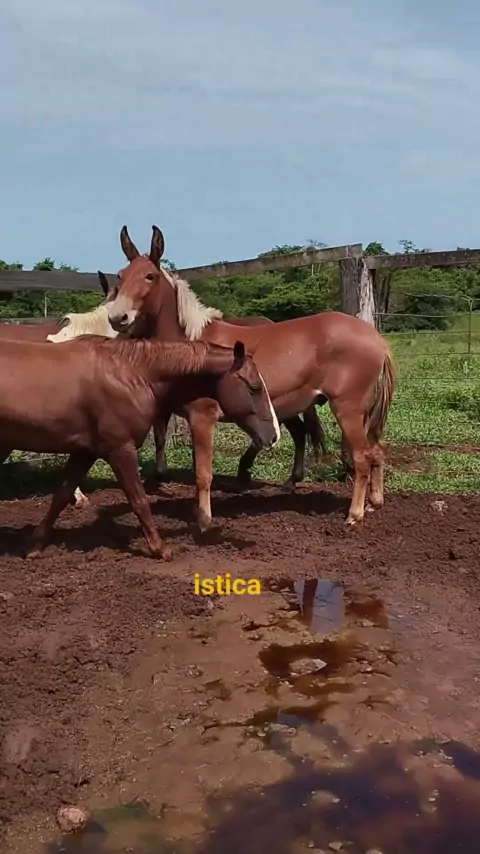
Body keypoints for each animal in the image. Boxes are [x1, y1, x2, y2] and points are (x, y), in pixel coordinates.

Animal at [0, 335, 279, 559]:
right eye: (254, 387)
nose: (273, 436)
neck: (133, 373)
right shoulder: (121, 449)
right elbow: (139, 500)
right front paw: (160, 548)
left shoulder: (85, 452)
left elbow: (60, 496)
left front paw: (35, 545)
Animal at [104, 225, 396, 531]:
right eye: (121, 276)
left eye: (150, 276)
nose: (117, 317)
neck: (193, 344)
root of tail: (377, 339)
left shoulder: (203, 417)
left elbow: (203, 473)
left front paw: (204, 519)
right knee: (376, 450)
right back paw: (374, 501)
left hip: (348, 408)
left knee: (362, 457)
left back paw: (355, 513)